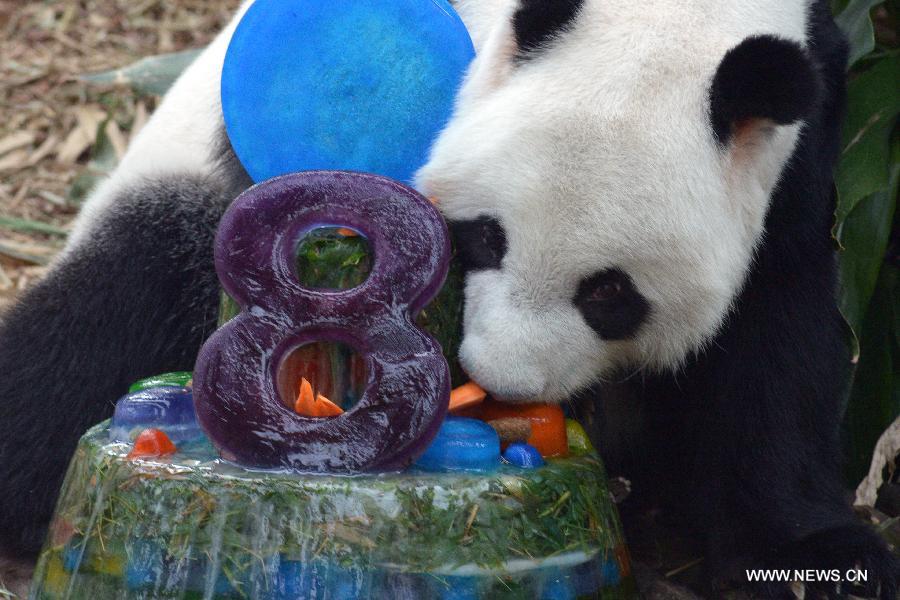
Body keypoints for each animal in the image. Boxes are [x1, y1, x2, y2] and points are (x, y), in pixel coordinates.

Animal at [1, 0, 900, 596]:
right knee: (111, 311)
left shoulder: (805, 141)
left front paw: (819, 562)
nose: (502, 380)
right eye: (486, 239)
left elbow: (773, 348)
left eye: (611, 295)